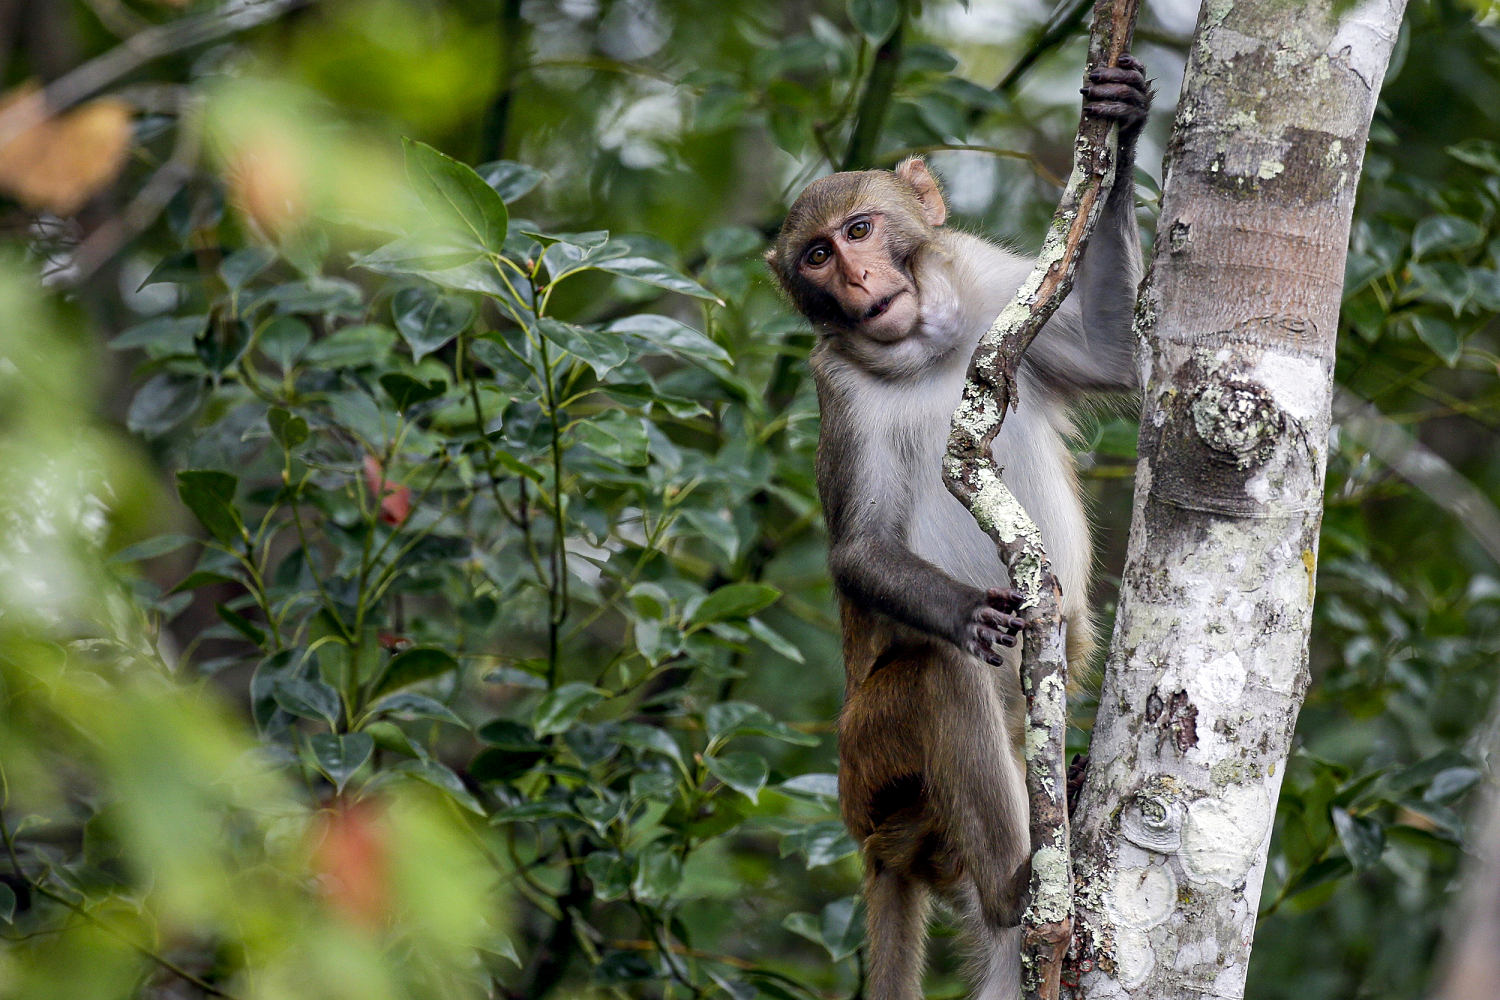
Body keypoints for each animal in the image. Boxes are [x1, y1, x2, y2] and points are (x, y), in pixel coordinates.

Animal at [768, 56, 1152, 1000]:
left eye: (861, 229)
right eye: (817, 255)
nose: (856, 283)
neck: (926, 349)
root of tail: (878, 847)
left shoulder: (992, 285)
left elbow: (1115, 355)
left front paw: (1122, 124)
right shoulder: (839, 389)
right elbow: (860, 549)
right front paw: (966, 612)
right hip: (871, 765)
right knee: (939, 677)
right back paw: (1017, 887)